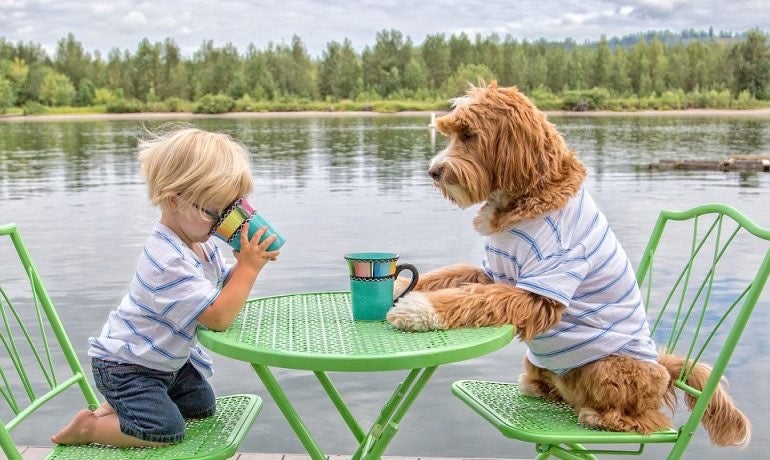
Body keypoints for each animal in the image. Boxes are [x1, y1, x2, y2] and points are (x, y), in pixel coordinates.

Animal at [388, 84, 748, 448]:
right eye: (450, 133)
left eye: (468, 135)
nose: (434, 171)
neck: (528, 195)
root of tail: (663, 368)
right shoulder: (491, 271)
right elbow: (448, 276)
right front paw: (399, 286)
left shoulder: (541, 288)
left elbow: (473, 298)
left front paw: (416, 310)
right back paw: (541, 387)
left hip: (609, 368)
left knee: (648, 419)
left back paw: (600, 417)